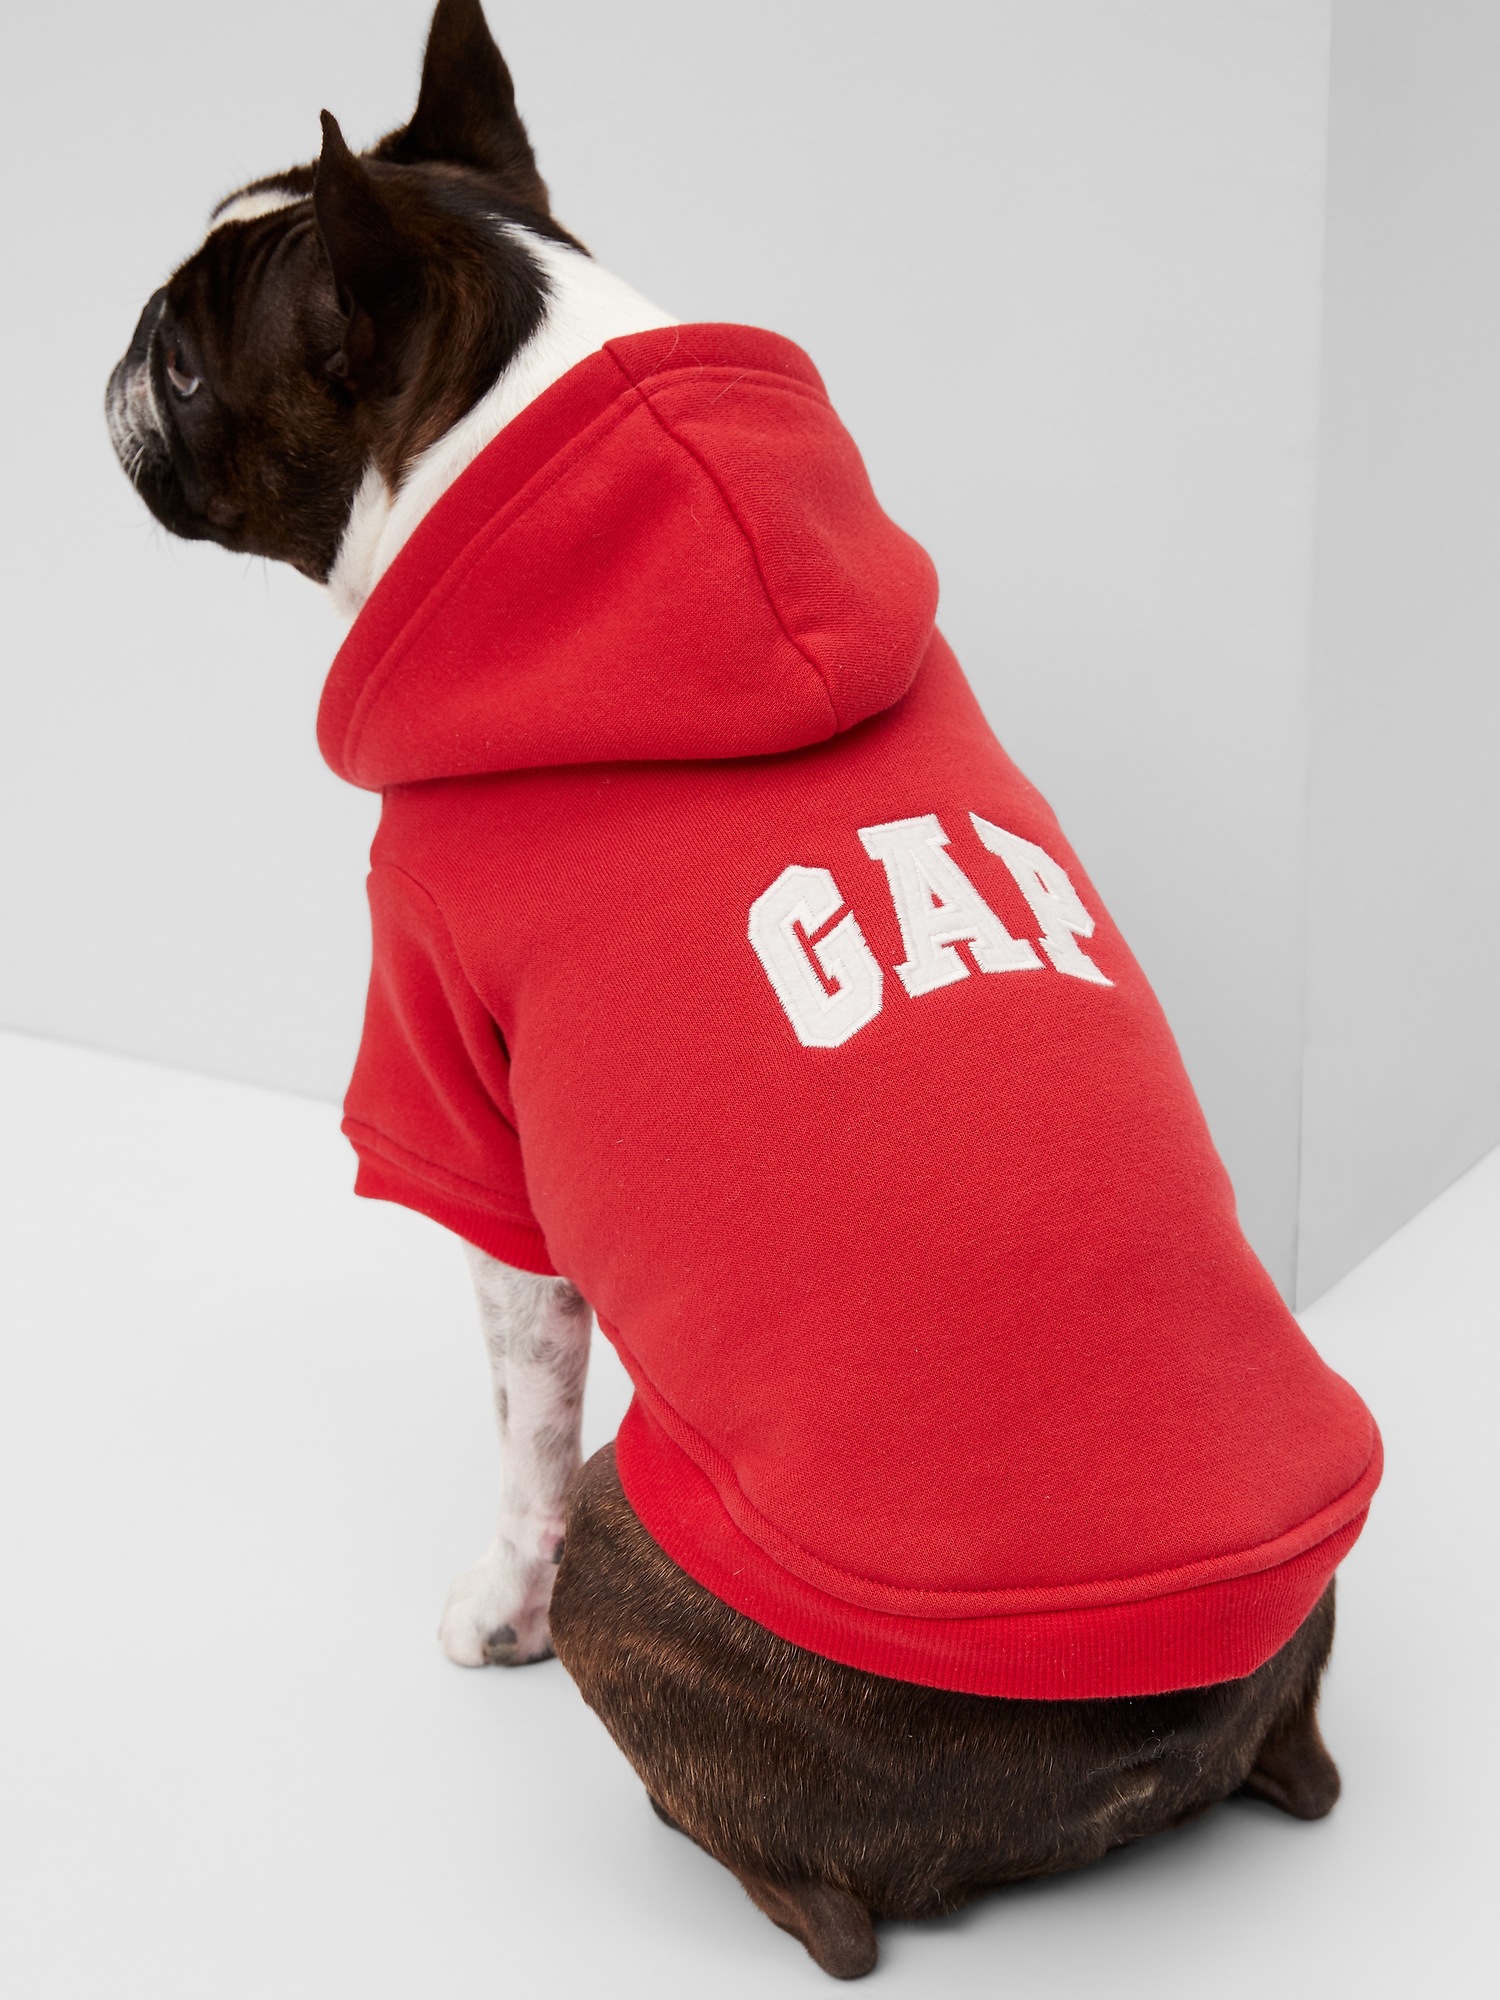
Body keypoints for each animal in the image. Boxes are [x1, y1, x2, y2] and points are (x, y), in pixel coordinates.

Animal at [107, 2, 1380, 1977]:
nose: (103, 356)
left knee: (814, 1893)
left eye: (180, 357)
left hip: (643, 1546)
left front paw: (493, 1604)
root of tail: (1152, 1736)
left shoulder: (464, 1115)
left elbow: (521, 1427)